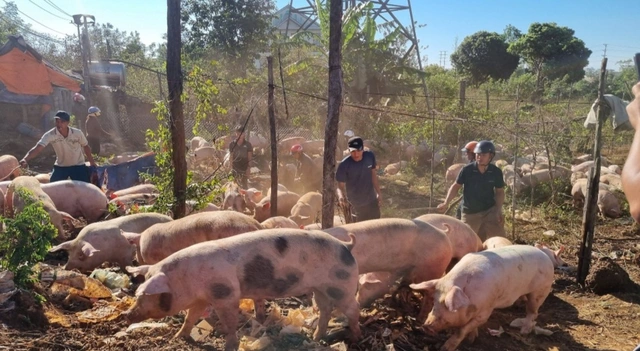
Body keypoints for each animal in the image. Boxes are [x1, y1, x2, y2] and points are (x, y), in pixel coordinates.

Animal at [123, 230, 362, 350]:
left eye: (145, 296)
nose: (127, 314)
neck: (185, 279)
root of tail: (346, 246)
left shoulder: (226, 294)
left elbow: (230, 323)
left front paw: (229, 346)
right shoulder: (202, 299)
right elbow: (190, 317)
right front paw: (178, 337)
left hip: (341, 286)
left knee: (354, 308)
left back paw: (355, 337)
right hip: (320, 289)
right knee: (325, 310)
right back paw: (316, 337)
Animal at [410, 245, 556, 351]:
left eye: (447, 305)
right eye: (434, 301)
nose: (426, 326)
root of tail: (546, 257)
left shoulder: (486, 311)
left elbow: (461, 330)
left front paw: (445, 348)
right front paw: (472, 339)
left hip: (540, 291)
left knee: (533, 312)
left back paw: (523, 332)